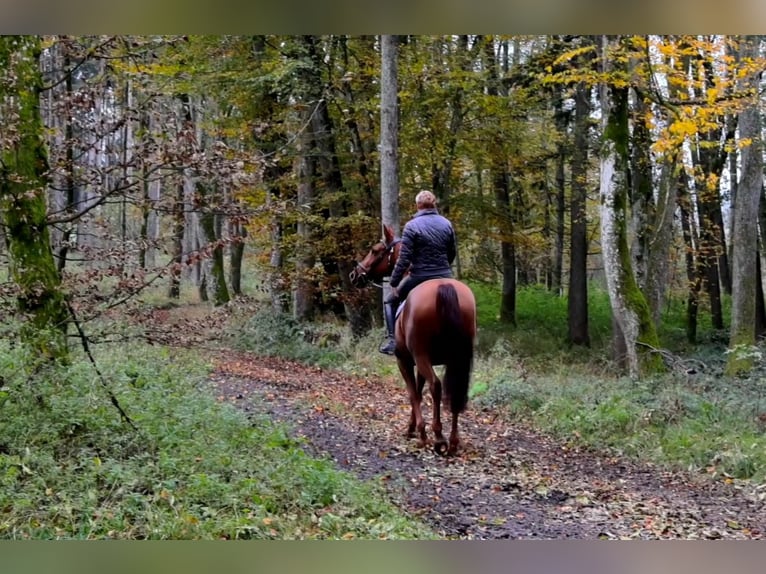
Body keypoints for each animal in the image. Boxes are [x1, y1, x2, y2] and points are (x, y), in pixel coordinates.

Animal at [352, 223, 476, 456]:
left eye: (375, 250)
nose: (355, 274)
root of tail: (444, 287)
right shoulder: (420, 362)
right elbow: (418, 390)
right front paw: (413, 427)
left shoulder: (405, 360)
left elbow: (413, 393)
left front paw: (418, 431)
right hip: (456, 358)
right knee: (454, 391)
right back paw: (453, 440)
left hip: (419, 355)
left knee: (436, 386)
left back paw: (438, 437)